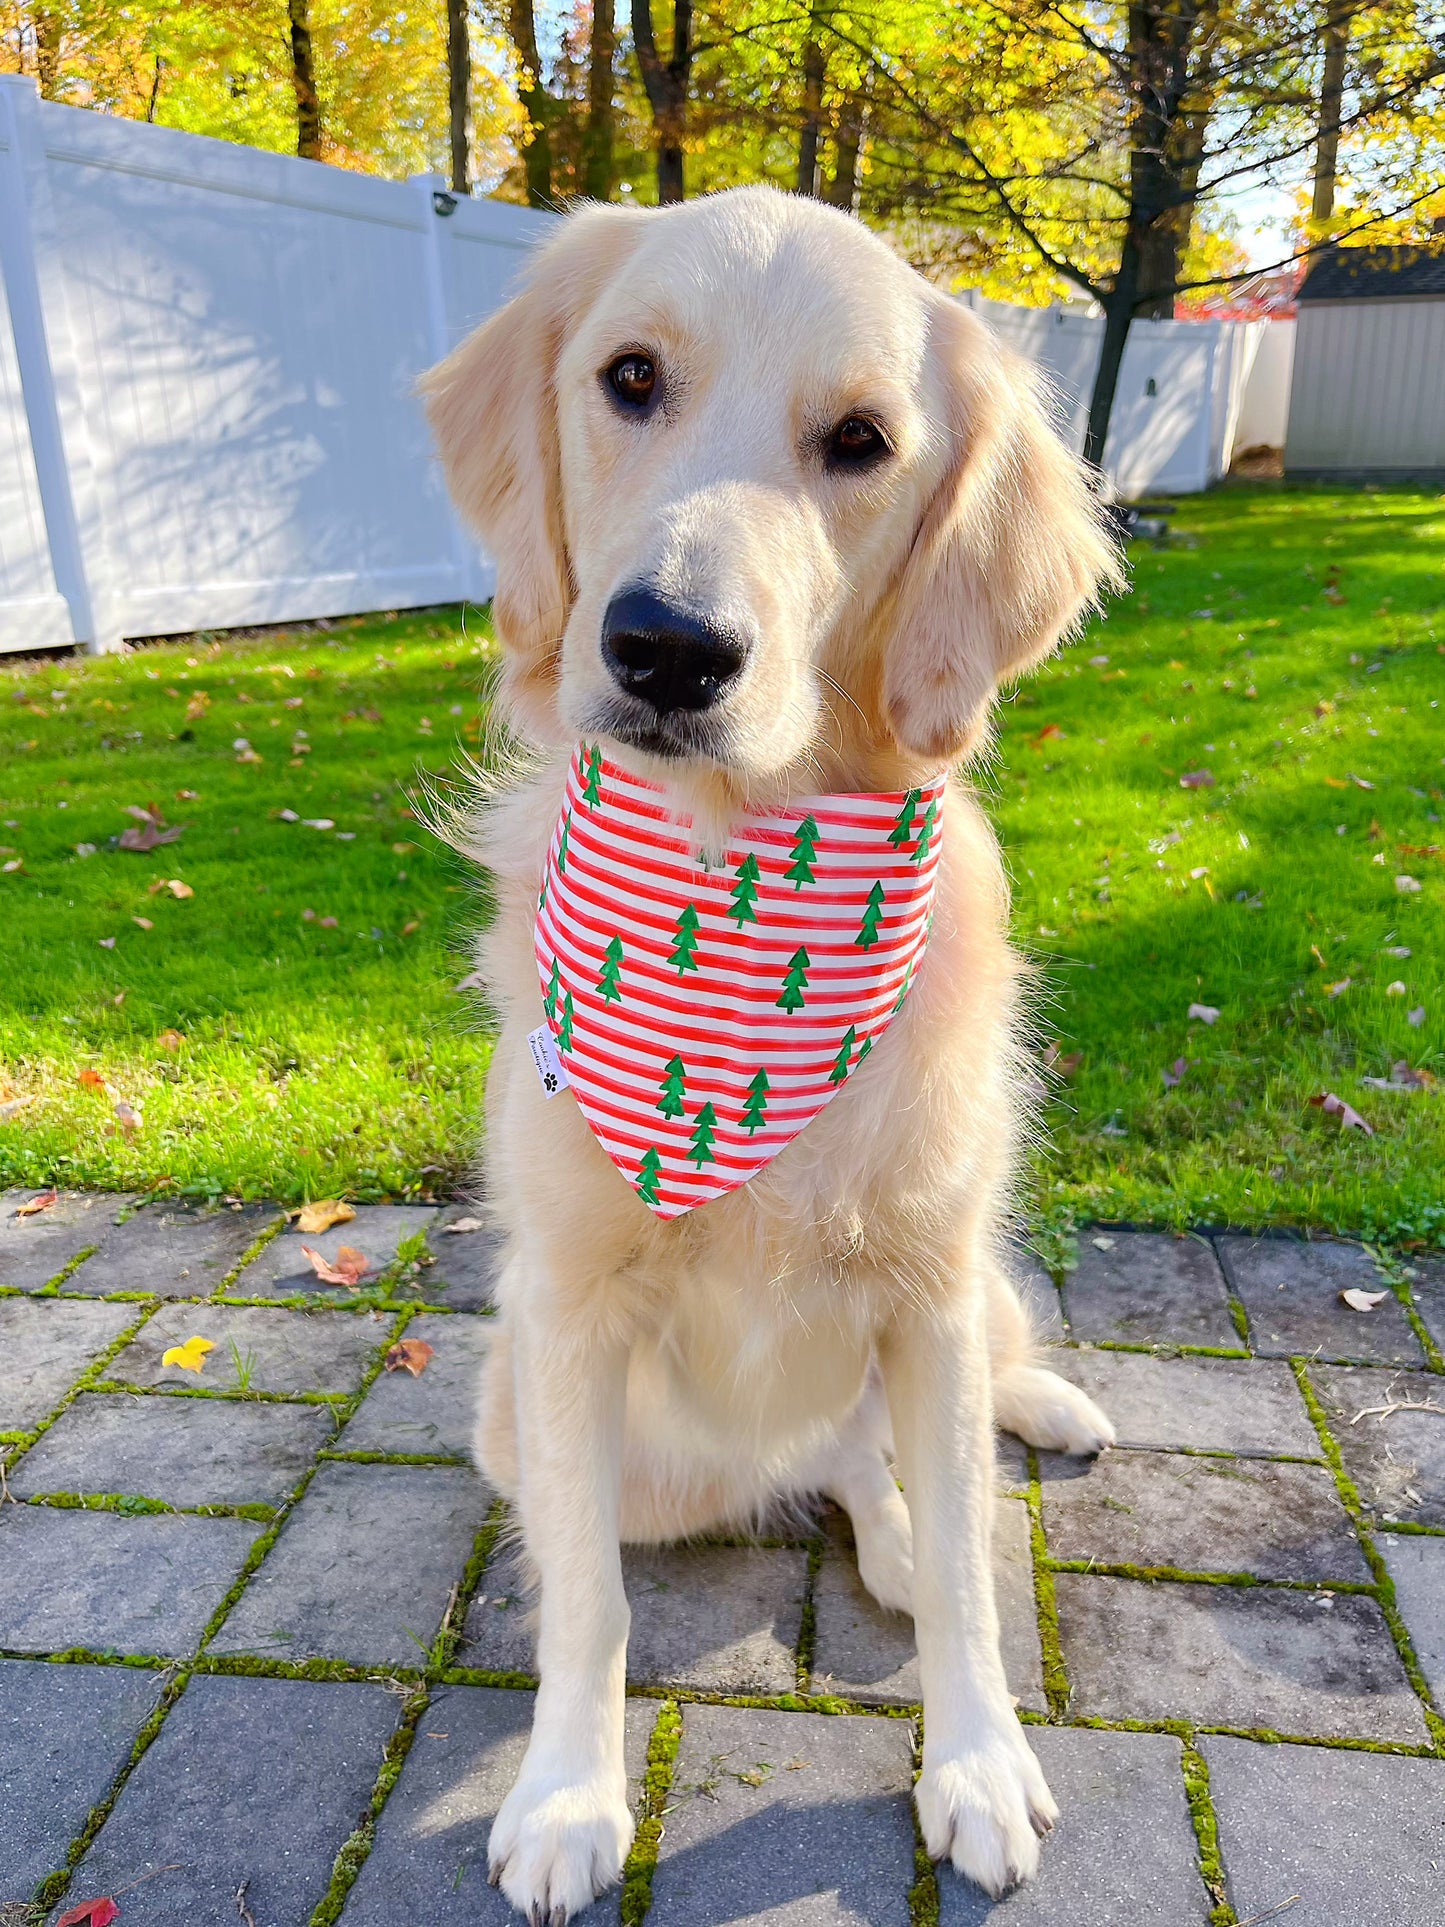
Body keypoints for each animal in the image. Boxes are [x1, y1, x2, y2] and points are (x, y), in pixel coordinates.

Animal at [423, 184, 1125, 1927]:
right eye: (628, 379)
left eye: (860, 440)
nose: (667, 648)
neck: (738, 894)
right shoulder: (563, 1311)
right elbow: (586, 1598)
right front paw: (566, 1790)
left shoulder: (926, 1286)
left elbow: (972, 1578)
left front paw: (977, 1766)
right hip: (521, 1413)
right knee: (840, 1475)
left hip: (955, 1289)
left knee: (920, 1452)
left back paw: (1029, 1425)